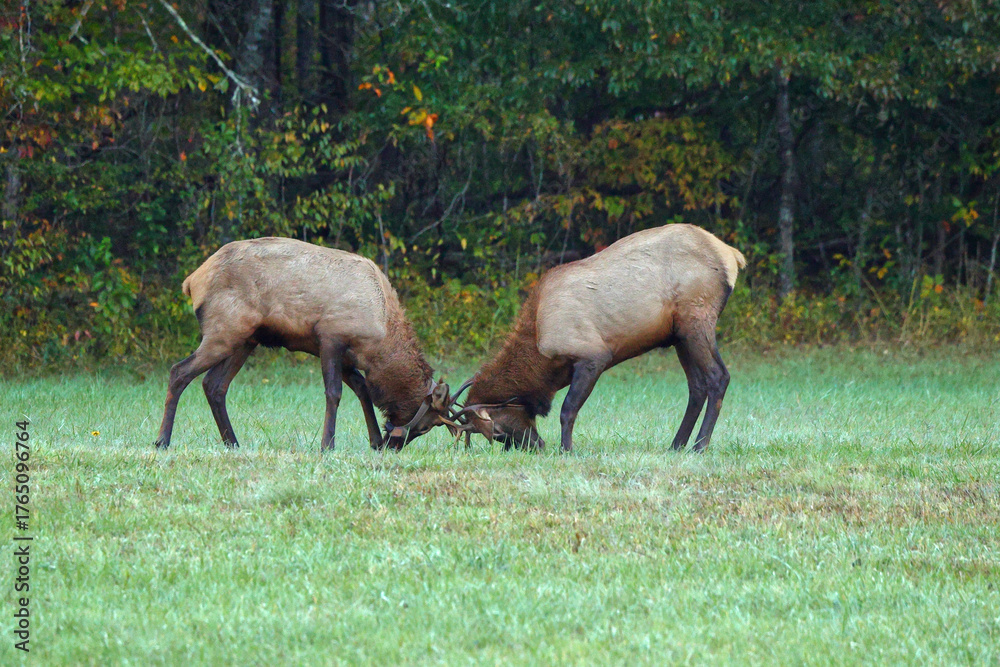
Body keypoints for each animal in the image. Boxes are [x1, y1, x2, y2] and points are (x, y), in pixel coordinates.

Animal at [153, 237, 458, 452]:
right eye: (425, 427)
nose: (393, 446)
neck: (379, 342)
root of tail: (192, 281)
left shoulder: (347, 357)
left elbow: (362, 390)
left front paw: (373, 440)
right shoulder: (331, 337)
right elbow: (334, 393)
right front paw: (327, 445)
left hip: (245, 340)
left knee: (214, 385)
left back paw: (232, 442)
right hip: (223, 331)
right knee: (179, 371)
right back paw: (162, 441)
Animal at [449, 223, 745, 453]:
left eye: (498, 431)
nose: (533, 446)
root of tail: (731, 256)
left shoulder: (593, 356)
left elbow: (568, 409)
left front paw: (566, 450)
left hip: (697, 319)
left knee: (718, 377)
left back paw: (699, 446)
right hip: (679, 335)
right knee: (697, 386)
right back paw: (675, 445)